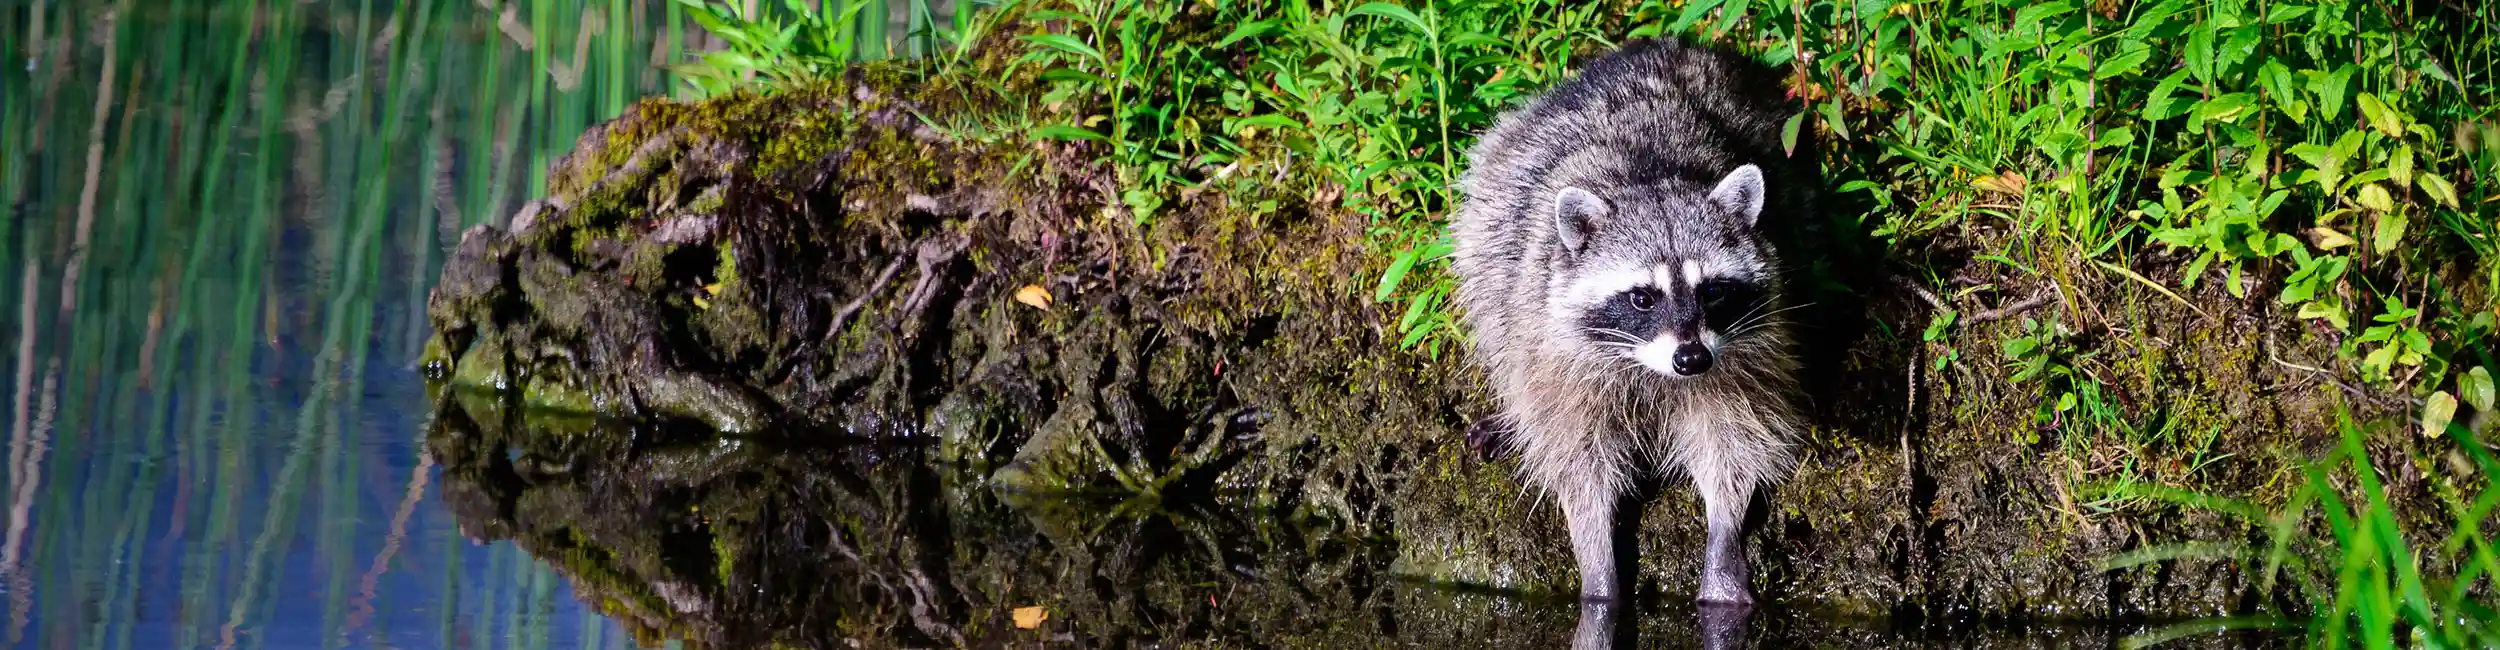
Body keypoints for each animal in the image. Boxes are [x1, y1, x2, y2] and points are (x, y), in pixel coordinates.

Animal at [1450, 40, 1820, 607]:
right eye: (1643, 298)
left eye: (1713, 290)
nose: (1691, 359)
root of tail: (1658, 45)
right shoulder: (1554, 346)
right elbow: (1576, 462)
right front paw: (1595, 560)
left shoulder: (1743, 354)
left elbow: (1735, 439)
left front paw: (1725, 533)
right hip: (1497, 206)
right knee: (1492, 301)